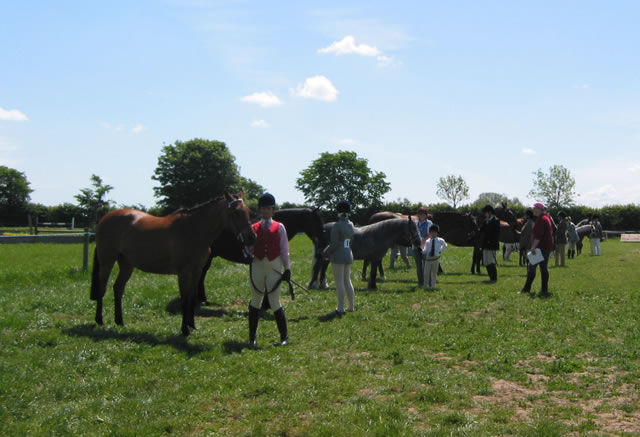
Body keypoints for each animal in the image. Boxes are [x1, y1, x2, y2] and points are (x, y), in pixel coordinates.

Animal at [90, 192, 255, 336]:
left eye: (247, 211)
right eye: (235, 213)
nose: (251, 237)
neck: (193, 230)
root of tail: (104, 219)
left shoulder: (196, 271)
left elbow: (191, 296)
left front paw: (192, 325)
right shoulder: (183, 273)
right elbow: (184, 299)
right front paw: (185, 330)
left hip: (126, 264)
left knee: (118, 288)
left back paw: (120, 321)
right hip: (107, 262)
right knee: (102, 288)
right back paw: (100, 320)